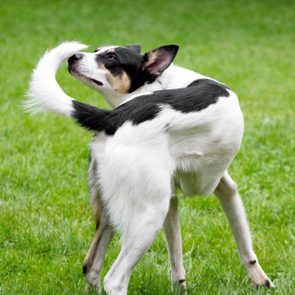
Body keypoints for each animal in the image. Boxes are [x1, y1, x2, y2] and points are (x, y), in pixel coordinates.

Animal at [26, 41, 276, 294]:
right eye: (98, 51)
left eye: (111, 56)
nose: (74, 57)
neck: (161, 82)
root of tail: (114, 117)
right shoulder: (219, 187)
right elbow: (243, 244)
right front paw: (261, 281)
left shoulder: (182, 197)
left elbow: (179, 255)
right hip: (149, 216)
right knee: (114, 279)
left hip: (116, 210)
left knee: (90, 266)